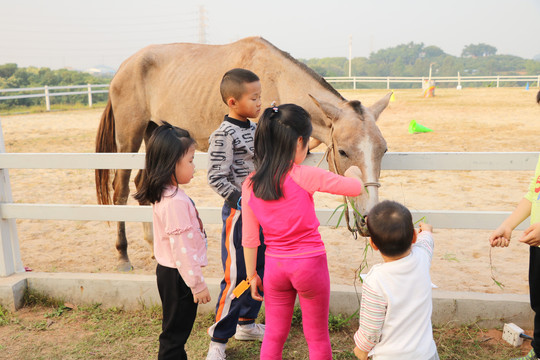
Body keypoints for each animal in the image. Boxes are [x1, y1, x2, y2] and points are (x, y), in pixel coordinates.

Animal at [95, 36, 390, 272]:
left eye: (383, 149)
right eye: (343, 151)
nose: (370, 217)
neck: (277, 80)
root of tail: (123, 67)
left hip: (155, 134)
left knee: (144, 184)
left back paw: (156, 249)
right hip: (129, 137)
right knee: (121, 190)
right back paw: (123, 255)